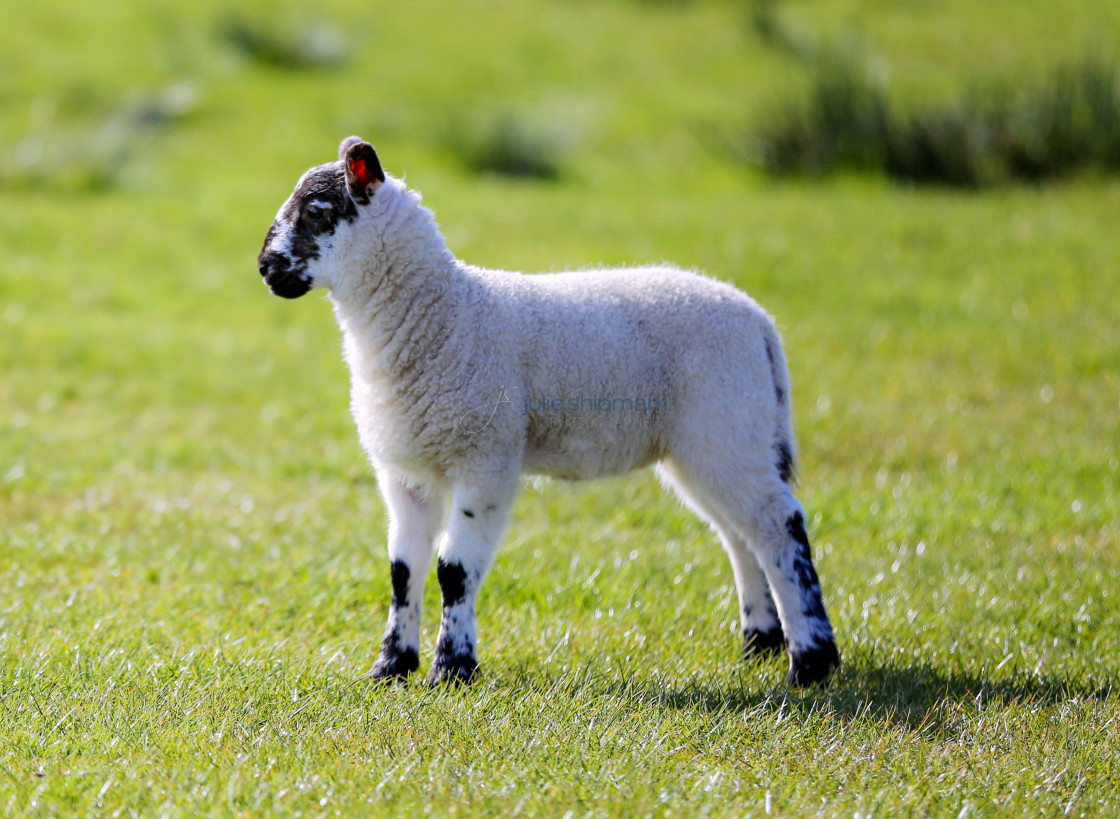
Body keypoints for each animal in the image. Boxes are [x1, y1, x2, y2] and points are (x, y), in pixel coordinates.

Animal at [257, 137, 842, 690]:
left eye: (316, 210)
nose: (265, 268)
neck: (446, 313)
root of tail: (760, 322)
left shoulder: (486, 457)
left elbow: (454, 570)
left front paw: (452, 670)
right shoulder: (406, 470)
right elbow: (404, 570)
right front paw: (391, 667)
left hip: (725, 423)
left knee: (778, 523)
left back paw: (811, 662)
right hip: (712, 441)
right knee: (740, 534)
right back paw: (761, 642)